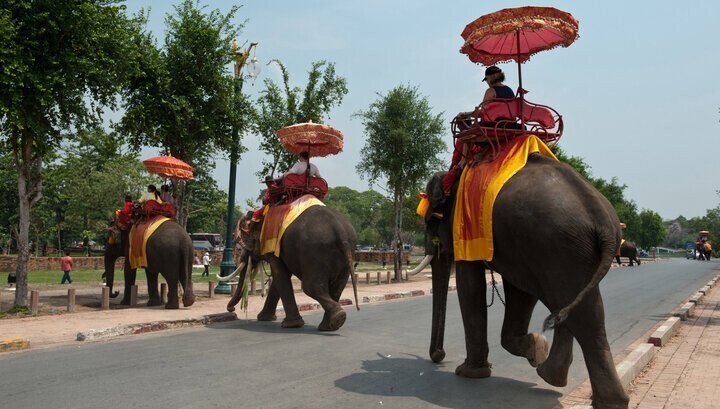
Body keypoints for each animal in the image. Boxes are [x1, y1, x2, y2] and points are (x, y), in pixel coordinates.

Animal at [217, 204, 358, 332]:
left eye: (240, 246)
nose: (231, 309)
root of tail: (339, 229)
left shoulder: (272, 246)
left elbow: (279, 273)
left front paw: (290, 325)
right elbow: (279, 276)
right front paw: (264, 318)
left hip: (315, 253)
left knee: (311, 287)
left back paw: (336, 319)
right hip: (346, 254)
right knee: (337, 288)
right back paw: (330, 325)